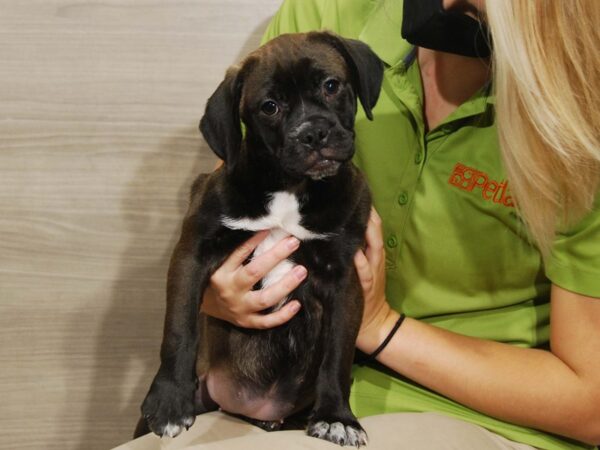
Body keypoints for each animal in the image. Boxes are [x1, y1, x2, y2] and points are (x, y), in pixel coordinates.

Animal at [138, 30, 382, 446]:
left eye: (331, 86)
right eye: (269, 107)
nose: (312, 133)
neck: (289, 185)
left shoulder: (344, 280)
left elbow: (338, 353)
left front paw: (337, 417)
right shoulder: (192, 252)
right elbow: (179, 327)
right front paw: (170, 402)